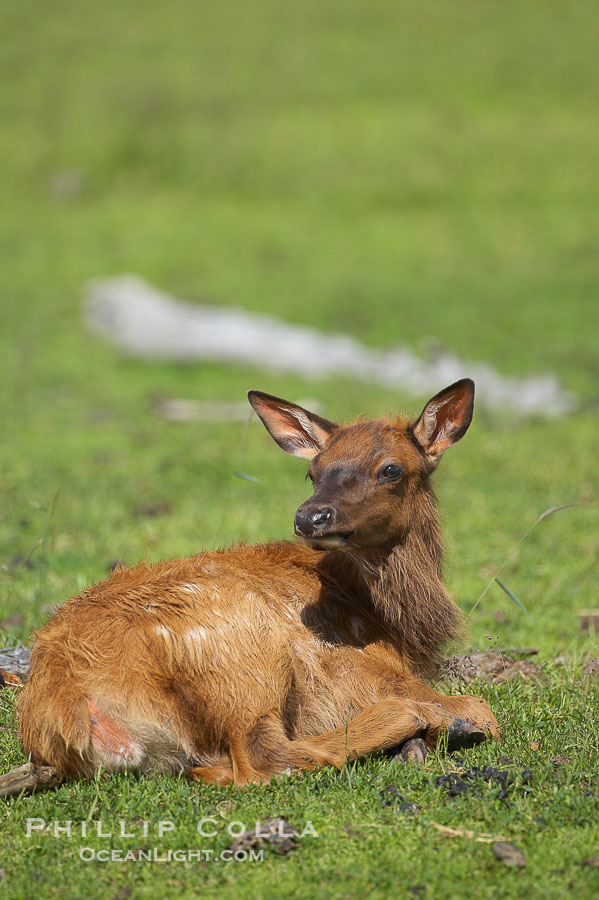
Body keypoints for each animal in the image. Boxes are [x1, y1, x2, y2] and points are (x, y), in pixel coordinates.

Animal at [17, 378, 499, 787]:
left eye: (392, 469)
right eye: (313, 471)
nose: (310, 516)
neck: (396, 627)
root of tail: (66, 711)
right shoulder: (353, 668)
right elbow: (482, 709)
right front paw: (449, 722)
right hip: (245, 658)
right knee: (264, 759)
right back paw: (419, 720)